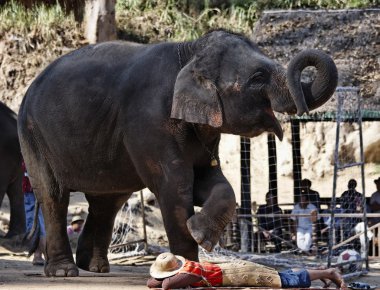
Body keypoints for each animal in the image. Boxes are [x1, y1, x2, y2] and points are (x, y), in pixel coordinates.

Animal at [18, 28, 338, 276]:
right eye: (258, 77)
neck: (190, 51)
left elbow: (211, 182)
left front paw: (199, 233)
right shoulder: (150, 121)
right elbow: (175, 186)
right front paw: (189, 266)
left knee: (107, 201)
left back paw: (95, 267)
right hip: (34, 135)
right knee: (53, 195)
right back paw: (64, 271)